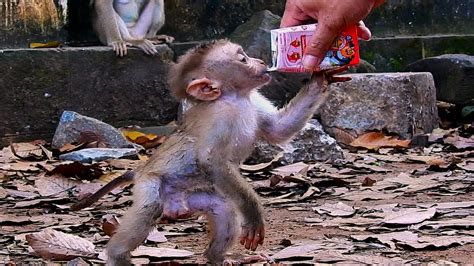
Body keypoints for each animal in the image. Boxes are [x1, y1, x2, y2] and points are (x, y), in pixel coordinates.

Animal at [73, 40, 348, 264]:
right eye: (242, 59)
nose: (261, 62)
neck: (234, 98)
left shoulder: (253, 101)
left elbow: (278, 130)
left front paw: (320, 78)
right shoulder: (220, 118)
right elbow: (211, 160)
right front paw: (254, 214)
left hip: (193, 196)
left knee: (224, 209)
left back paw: (218, 257)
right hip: (150, 184)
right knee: (149, 208)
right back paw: (116, 256)